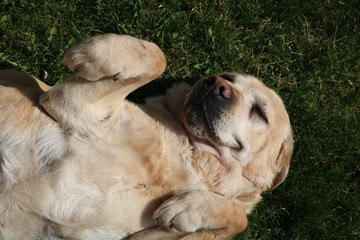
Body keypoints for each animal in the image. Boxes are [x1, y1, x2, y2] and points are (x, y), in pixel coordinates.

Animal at [0, 34, 292, 240]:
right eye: (228, 76)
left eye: (260, 112)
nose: (216, 83)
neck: (192, 155)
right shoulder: (70, 105)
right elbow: (158, 57)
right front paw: (97, 52)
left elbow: (240, 220)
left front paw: (192, 208)